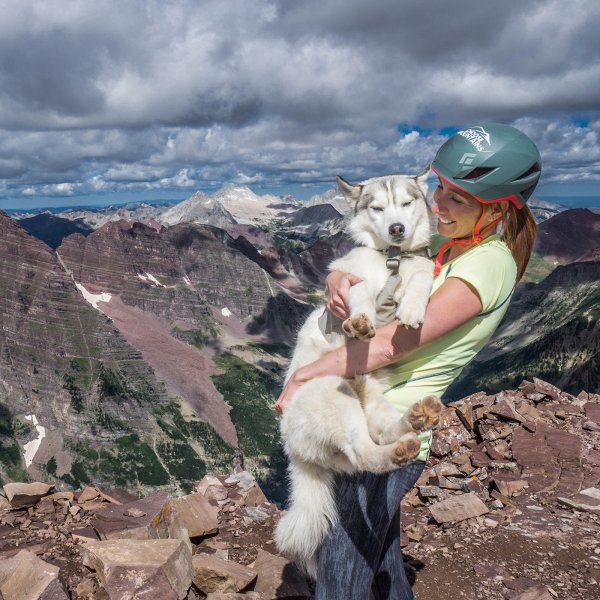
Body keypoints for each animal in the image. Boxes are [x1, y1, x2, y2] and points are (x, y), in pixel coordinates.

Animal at [276, 169, 440, 576]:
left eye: (407, 202)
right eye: (377, 208)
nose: (397, 228)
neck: (392, 261)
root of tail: (294, 451)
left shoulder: (422, 268)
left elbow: (421, 279)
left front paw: (411, 310)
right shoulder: (349, 280)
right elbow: (361, 292)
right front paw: (363, 321)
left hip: (373, 401)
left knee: (380, 433)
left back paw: (417, 418)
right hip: (337, 398)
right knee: (363, 451)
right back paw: (398, 449)